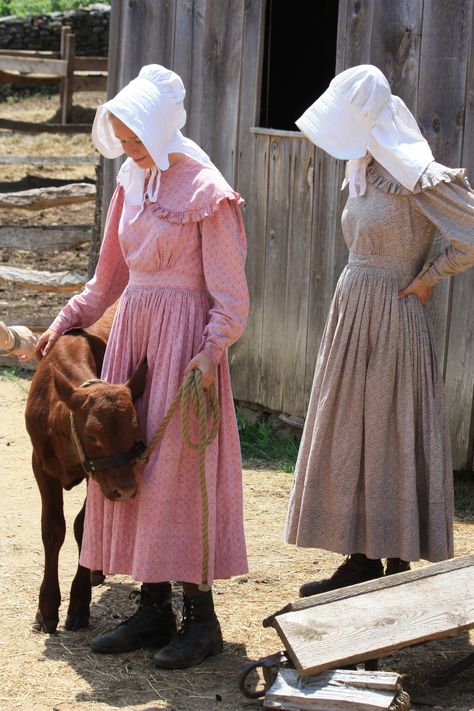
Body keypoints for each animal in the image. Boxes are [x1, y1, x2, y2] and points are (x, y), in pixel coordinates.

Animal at [25, 312, 146, 636]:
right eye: (92, 435)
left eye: (136, 429)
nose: (126, 490)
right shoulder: (41, 464)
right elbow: (52, 528)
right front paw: (47, 608)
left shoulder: (98, 477)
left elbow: (84, 527)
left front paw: (79, 604)